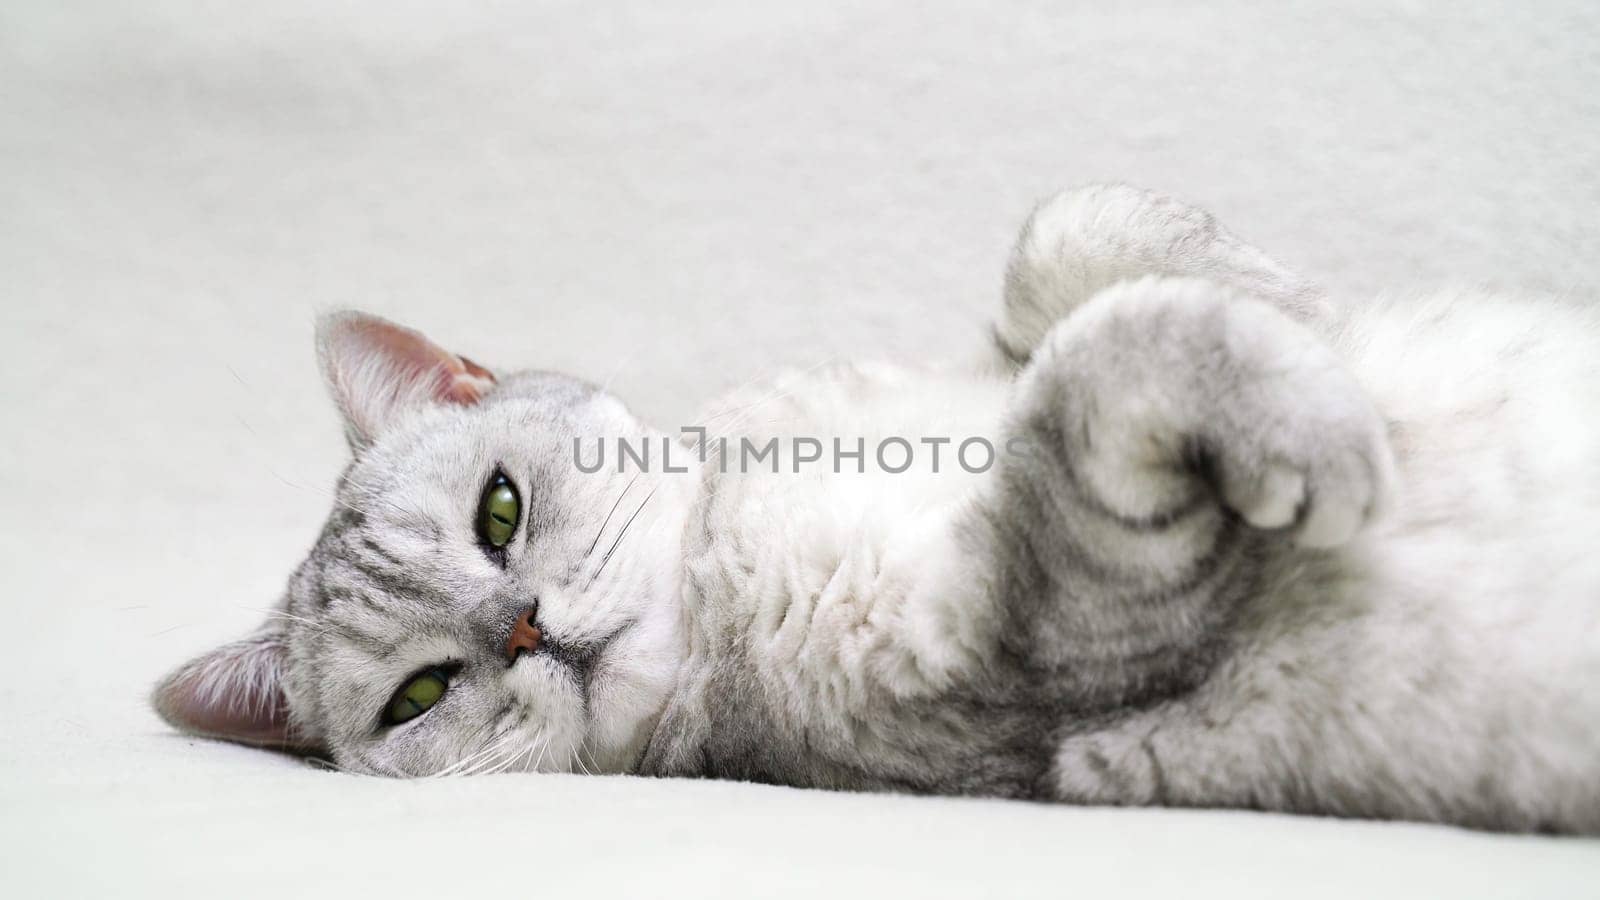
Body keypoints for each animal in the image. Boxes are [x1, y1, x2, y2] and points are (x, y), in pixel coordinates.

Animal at [152, 184, 1600, 832]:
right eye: (417, 697)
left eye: (498, 515)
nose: (524, 631)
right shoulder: (1044, 650)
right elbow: (1097, 370)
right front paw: (1322, 431)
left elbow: (1065, 248)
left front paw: (1292, 316)